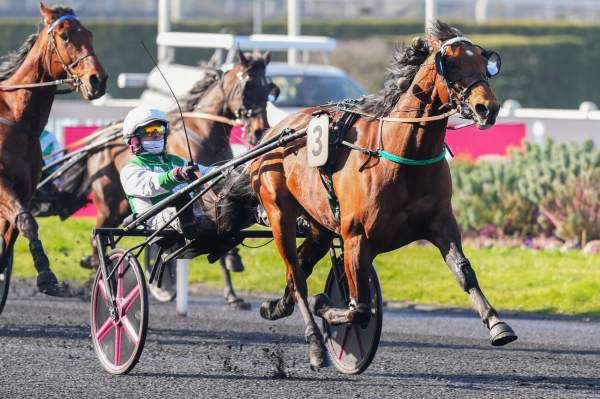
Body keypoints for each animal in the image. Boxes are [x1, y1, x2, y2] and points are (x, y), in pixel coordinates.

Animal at [0, 3, 106, 296]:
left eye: (90, 34)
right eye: (65, 36)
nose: (98, 79)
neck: (16, 119)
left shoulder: (26, 189)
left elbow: (14, 231)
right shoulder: (1, 183)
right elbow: (26, 221)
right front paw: (46, 274)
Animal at [248, 21, 516, 370]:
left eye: (487, 65)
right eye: (453, 63)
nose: (488, 108)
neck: (403, 153)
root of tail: (274, 131)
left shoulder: (441, 224)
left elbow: (464, 272)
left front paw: (498, 324)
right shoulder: (355, 237)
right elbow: (359, 307)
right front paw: (325, 306)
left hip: (319, 226)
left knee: (299, 274)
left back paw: (276, 306)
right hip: (279, 212)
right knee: (297, 275)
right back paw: (316, 344)